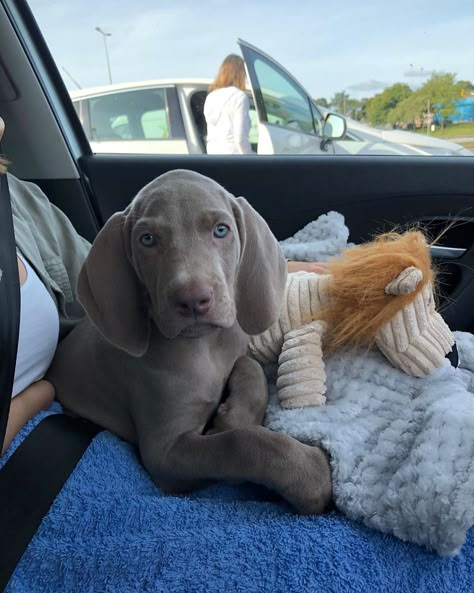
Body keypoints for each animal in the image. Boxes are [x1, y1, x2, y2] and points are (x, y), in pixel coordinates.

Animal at [47, 169, 330, 512]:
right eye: (147, 239)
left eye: (221, 230)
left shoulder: (236, 349)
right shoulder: (164, 454)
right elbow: (238, 443)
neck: (204, 347)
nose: (193, 299)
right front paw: (310, 473)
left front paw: (233, 415)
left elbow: (251, 367)